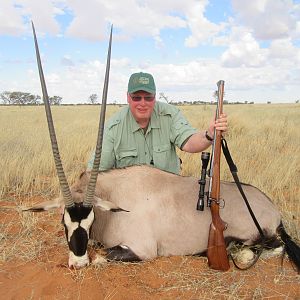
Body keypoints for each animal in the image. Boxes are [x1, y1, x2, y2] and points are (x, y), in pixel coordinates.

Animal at [25, 22, 300, 272]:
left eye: (89, 220)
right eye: (65, 222)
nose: (78, 263)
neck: (114, 200)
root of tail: (273, 209)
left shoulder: (141, 249)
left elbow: (102, 256)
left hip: (254, 237)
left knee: (269, 248)